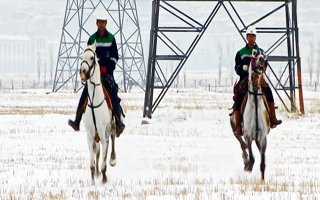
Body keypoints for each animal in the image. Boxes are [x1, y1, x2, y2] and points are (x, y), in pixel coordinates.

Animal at [79, 43, 117, 184]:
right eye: (82, 56)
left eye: (92, 57)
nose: (83, 72)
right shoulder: (90, 135)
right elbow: (93, 158)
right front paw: (93, 180)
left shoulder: (103, 133)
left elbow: (104, 159)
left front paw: (104, 178)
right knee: (97, 152)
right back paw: (96, 173)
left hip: (111, 127)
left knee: (113, 139)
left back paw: (112, 160)